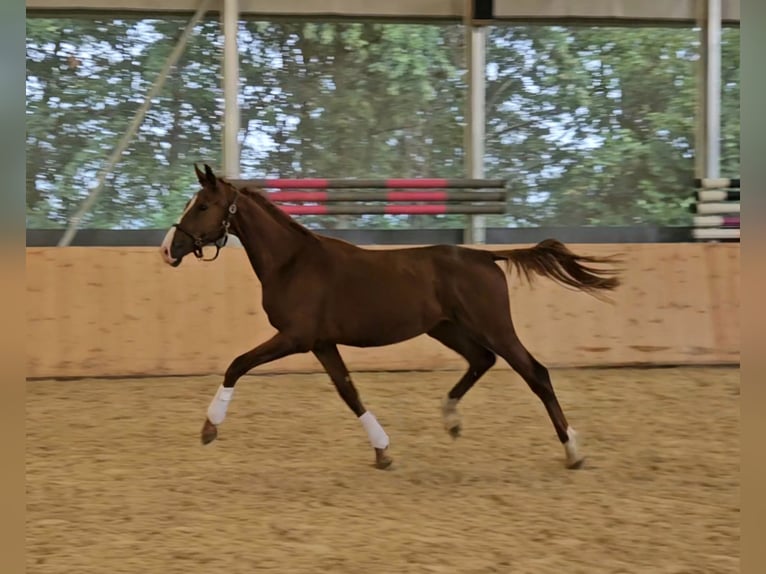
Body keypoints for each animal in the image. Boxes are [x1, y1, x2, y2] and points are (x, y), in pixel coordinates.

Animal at [159, 164, 620, 470]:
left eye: (203, 205)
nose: (168, 249)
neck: (293, 262)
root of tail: (486, 256)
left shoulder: (295, 338)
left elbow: (237, 365)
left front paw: (209, 429)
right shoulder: (322, 343)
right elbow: (349, 392)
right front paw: (382, 450)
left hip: (494, 327)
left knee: (535, 373)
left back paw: (573, 451)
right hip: (446, 328)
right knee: (481, 360)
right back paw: (451, 419)